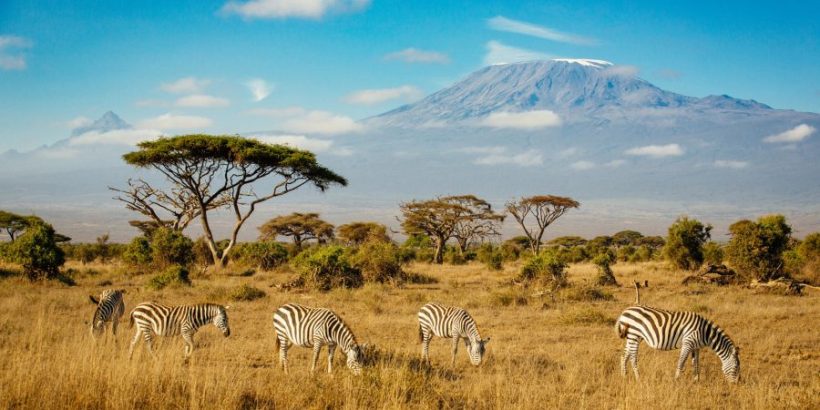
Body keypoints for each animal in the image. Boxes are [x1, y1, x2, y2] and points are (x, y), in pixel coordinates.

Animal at [616, 304, 744, 382]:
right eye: (736, 367)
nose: (737, 384)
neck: (705, 333)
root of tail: (625, 311)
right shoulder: (687, 343)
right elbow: (681, 363)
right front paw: (676, 380)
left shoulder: (696, 347)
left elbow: (696, 364)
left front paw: (696, 380)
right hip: (634, 335)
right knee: (633, 358)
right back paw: (638, 378)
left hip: (632, 337)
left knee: (624, 355)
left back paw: (624, 376)